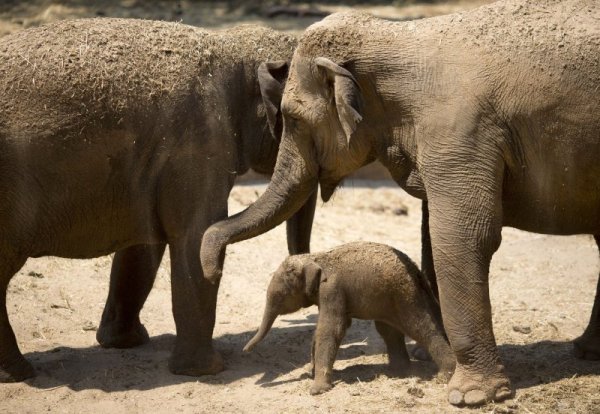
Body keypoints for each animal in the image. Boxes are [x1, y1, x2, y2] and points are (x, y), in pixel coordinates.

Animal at [0, 18, 318, 382]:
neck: (231, 47)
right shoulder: (199, 143)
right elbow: (194, 238)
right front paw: (206, 370)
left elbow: (142, 245)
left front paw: (124, 342)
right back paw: (20, 373)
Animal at [244, 243, 454, 394]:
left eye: (281, 295)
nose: (245, 350)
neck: (315, 257)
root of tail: (416, 270)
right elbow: (327, 328)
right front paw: (313, 374)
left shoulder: (332, 290)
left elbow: (332, 328)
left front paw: (316, 390)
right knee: (388, 330)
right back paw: (397, 372)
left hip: (405, 296)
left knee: (420, 328)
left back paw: (444, 377)